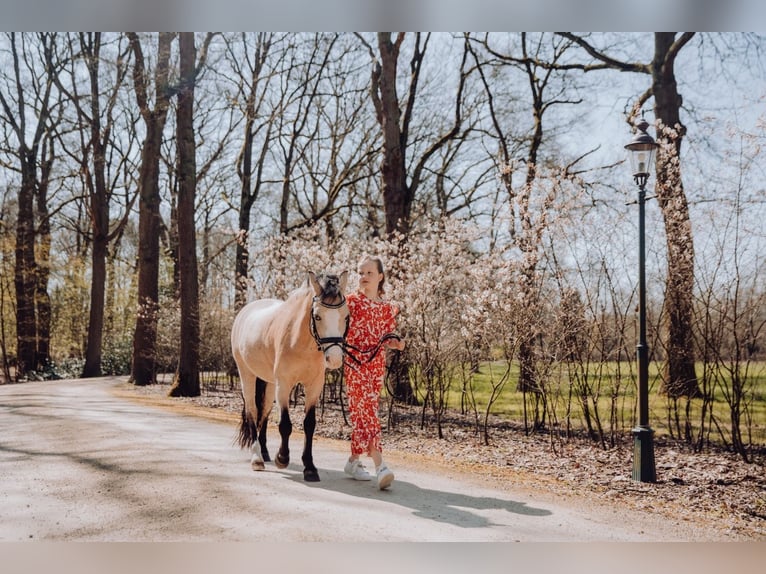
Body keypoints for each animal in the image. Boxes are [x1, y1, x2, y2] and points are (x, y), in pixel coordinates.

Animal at [231, 272, 352, 484]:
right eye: (318, 316)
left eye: (346, 316)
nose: (335, 358)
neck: (302, 342)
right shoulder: (284, 385)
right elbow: (285, 424)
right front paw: (282, 458)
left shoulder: (314, 386)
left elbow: (309, 424)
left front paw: (310, 468)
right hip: (247, 375)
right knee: (253, 411)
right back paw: (257, 458)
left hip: (270, 383)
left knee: (264, 411)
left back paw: (264, 452)